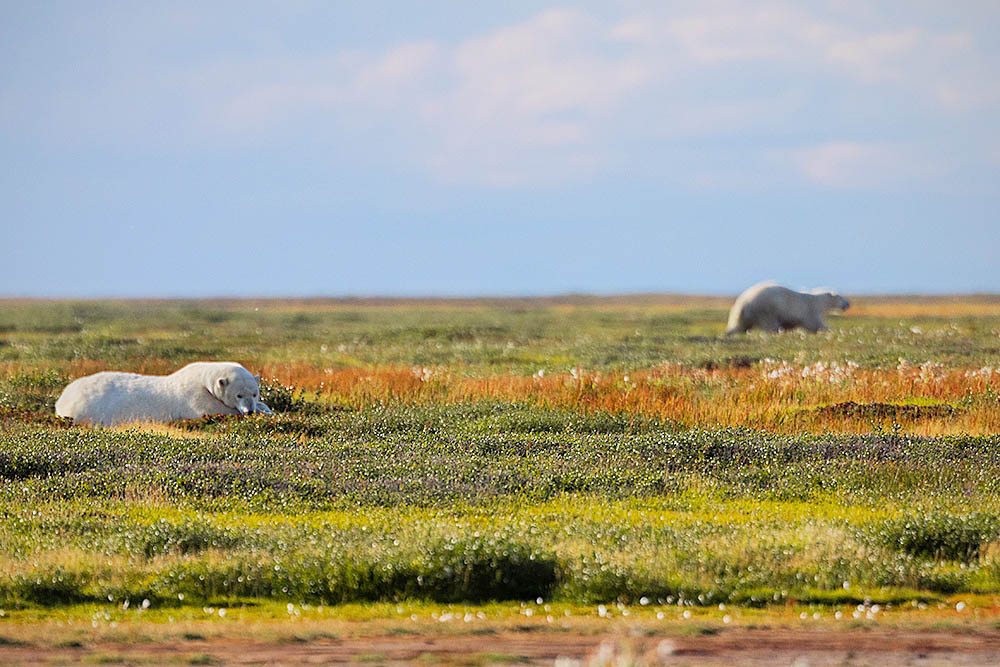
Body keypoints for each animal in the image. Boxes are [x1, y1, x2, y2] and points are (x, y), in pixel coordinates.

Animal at [53, 360, 274, 428]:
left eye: (255, 394)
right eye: (238, 395)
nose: (249, 411)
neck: (203, 379)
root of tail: (62, 399)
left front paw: (266, 409)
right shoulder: (195, 398)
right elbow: (215, 410)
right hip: (89, 409)